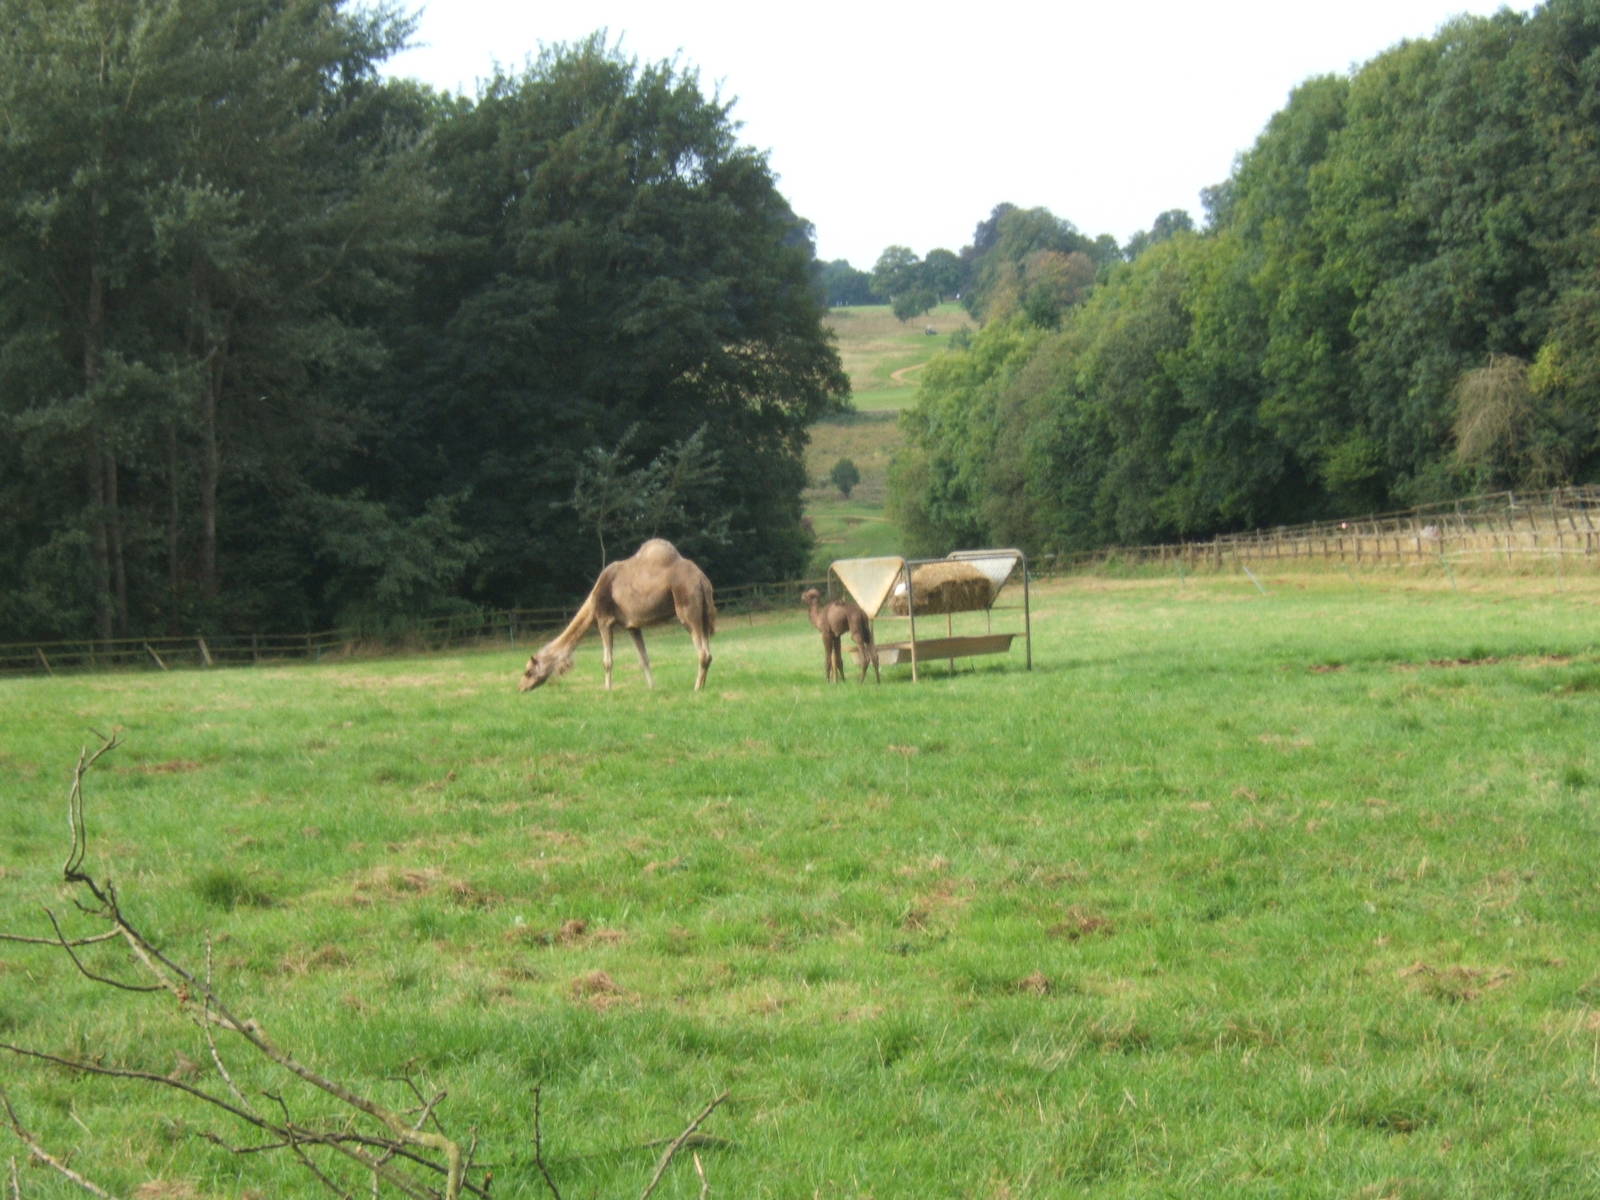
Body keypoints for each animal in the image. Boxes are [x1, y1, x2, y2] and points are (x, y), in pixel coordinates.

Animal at [519, 539, 715, 692]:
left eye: (528, 671)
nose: (520, 687)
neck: (593, 600)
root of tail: (702, 579)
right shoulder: (633, 625)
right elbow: (644, 658)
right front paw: (652, 687)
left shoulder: (604, 620)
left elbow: (607, 661)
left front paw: (607, 690)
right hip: (703, 614)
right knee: (708, 652)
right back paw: (703, 685)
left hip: (687, 607)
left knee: (703, 652)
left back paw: (696, 688)